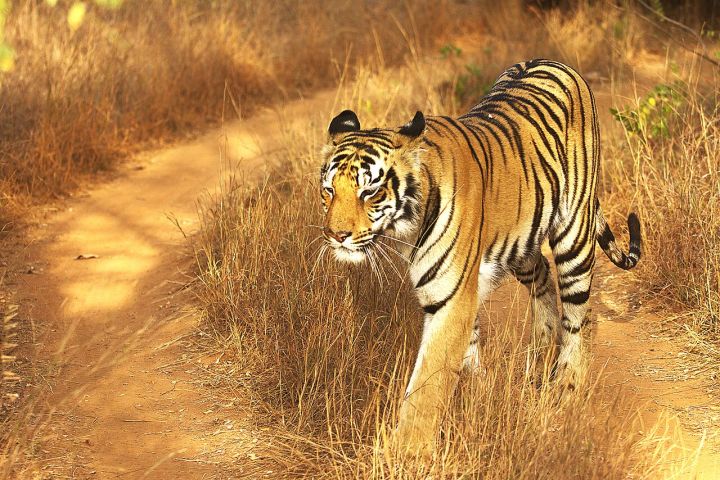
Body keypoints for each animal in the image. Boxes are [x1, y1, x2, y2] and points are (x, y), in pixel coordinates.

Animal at [318, 59, 641, 453]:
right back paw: (539, 355)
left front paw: (405, 452)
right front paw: (476, 390)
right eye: (329, 190)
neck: (407, 228)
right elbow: (463, 354)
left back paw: (566, 386)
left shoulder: (450, 300)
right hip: (521, 243)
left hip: (574, 234)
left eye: (371, 192)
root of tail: (553, 62)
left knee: (579, 314)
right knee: (544, 281)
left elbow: (426, 385)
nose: (336, 235)